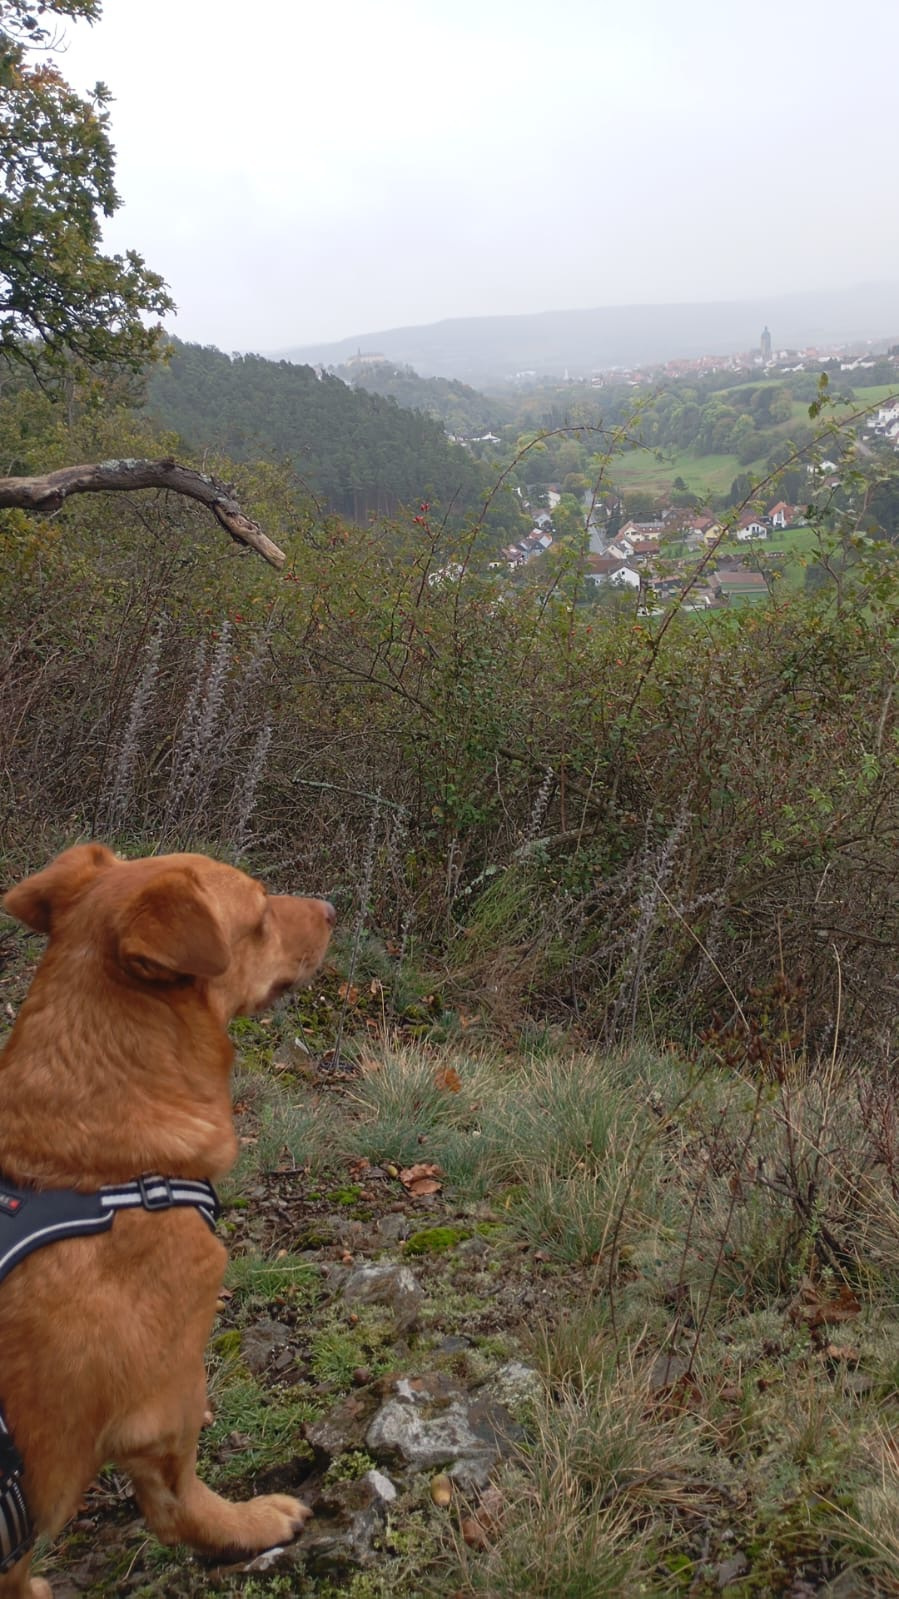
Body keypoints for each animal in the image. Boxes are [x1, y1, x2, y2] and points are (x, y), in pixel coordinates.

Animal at [0, 843, 335, 1599]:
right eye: (260, 911)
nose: (333, 908)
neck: (89, 1170)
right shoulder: (166, 1397)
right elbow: (179, 1500)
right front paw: (242, 1526)